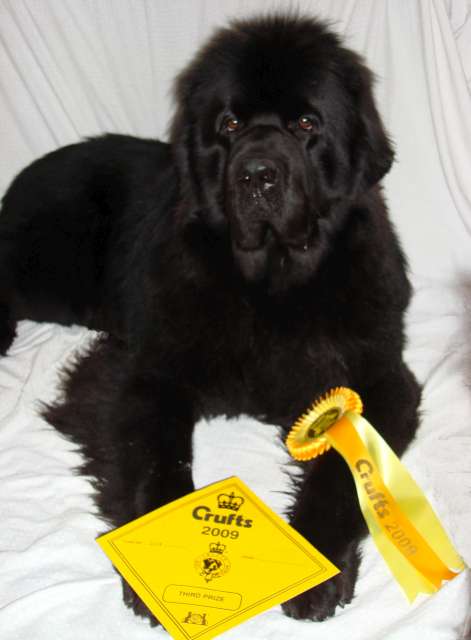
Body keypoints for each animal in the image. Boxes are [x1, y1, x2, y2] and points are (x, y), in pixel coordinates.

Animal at [0, 15, 420, 624]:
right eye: (230, 124)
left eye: (305, 124)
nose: (257, 174)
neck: (270, 285)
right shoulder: (145, 369)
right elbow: (155, 456)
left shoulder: (377, 378)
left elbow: (344, 475)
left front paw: (319, 565)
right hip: (50, 272)